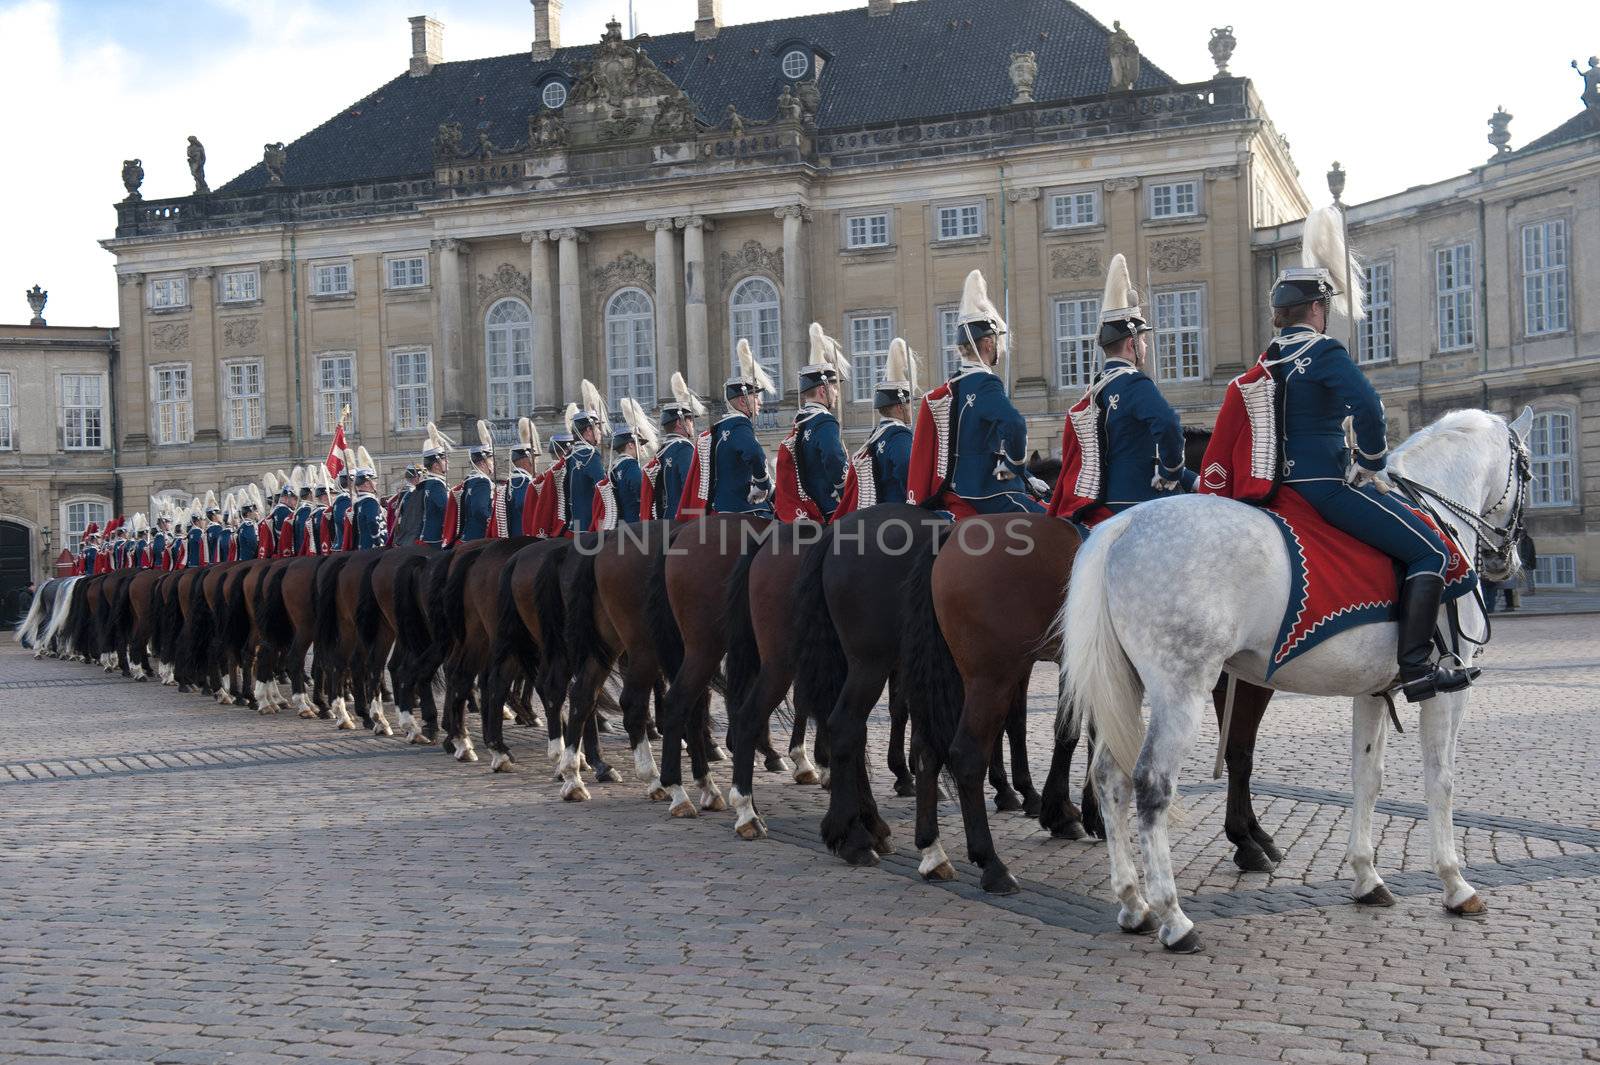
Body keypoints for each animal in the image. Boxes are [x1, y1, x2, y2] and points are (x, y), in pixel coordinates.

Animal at [1056, 404, 1529, 946]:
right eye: (1530, 470)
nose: (1508, 560)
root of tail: (1123, 525)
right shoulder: (1448, 691)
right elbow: (1441, 779)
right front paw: (1455, 882)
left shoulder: (1372, 692)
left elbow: (1367, 777)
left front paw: (1366, 876)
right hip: (1181, 691)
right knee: (1151, 784)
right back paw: (1175, 919)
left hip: (1129, 689)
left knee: (1109, 779)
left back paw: (1134, 903)